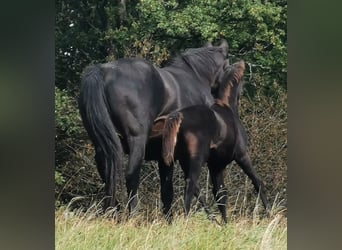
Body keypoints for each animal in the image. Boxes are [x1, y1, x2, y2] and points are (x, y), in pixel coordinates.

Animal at [79, 40, 230, 214]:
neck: (195, 77)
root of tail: (103, 71)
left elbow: (168, 190)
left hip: (103, 144)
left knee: (107, 173)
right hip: (137, 141)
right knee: (131, 175)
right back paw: (132, 213)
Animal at [162, 60, 268, 223]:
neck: (227, 107)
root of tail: (180, 116)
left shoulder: (216, 166)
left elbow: (220, 193)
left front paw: (224, 223)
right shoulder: (242, 156)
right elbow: (257, 182)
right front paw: (270, 212)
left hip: (183, 161)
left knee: (193, 189)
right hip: (196, 160)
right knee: (190, 186)